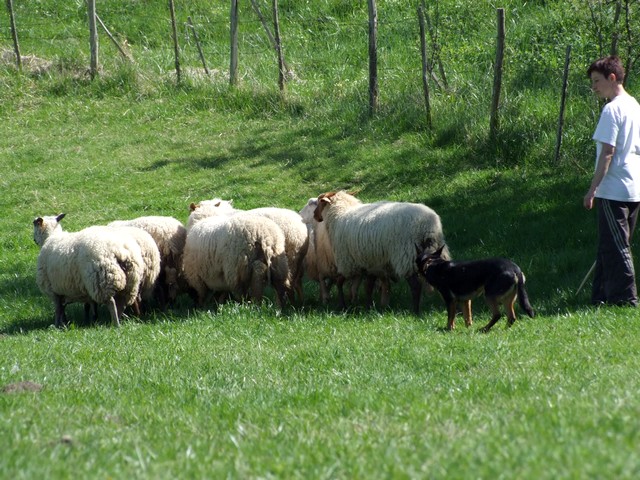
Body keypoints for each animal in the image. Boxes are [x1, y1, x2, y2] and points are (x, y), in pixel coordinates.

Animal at [312, 191, 448, 316]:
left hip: (406, 256)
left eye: (320, 202)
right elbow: (368, 287)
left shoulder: (347, 262)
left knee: (415, 285)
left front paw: (342, 305)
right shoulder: (371, 263)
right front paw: (368, 307)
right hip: (437, 252)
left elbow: (339, 282)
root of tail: (427, 226)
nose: (314, 215)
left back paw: (415, 311)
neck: (340, 213)